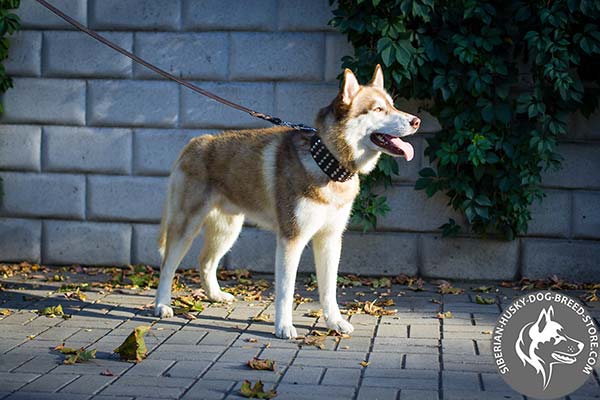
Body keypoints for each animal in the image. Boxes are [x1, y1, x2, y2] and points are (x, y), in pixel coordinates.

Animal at [152, 65, 420, 338]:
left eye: (393, 105)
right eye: (378, 109)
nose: (416, 121)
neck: (326, 163)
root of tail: (194, 143)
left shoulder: (330, 239)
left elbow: (329, 290)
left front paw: (334, 322)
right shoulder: (292, 239)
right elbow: (285, 291)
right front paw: (283, 326)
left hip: (227, 230)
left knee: (205, 261)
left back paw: (215, 295)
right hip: (186, 226)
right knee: (167, 266)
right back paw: (162, 305)